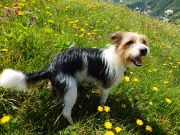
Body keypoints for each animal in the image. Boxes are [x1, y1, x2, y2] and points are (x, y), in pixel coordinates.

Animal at [0, 31, 149, 124]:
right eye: (129, 43)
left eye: (144, 42)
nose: (144, 50)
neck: (119, 55)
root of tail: (51, 68)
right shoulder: (106, 85)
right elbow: (103, 99)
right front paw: (102, 108)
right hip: (71, 89)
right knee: (66, 111)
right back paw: (73, 123)